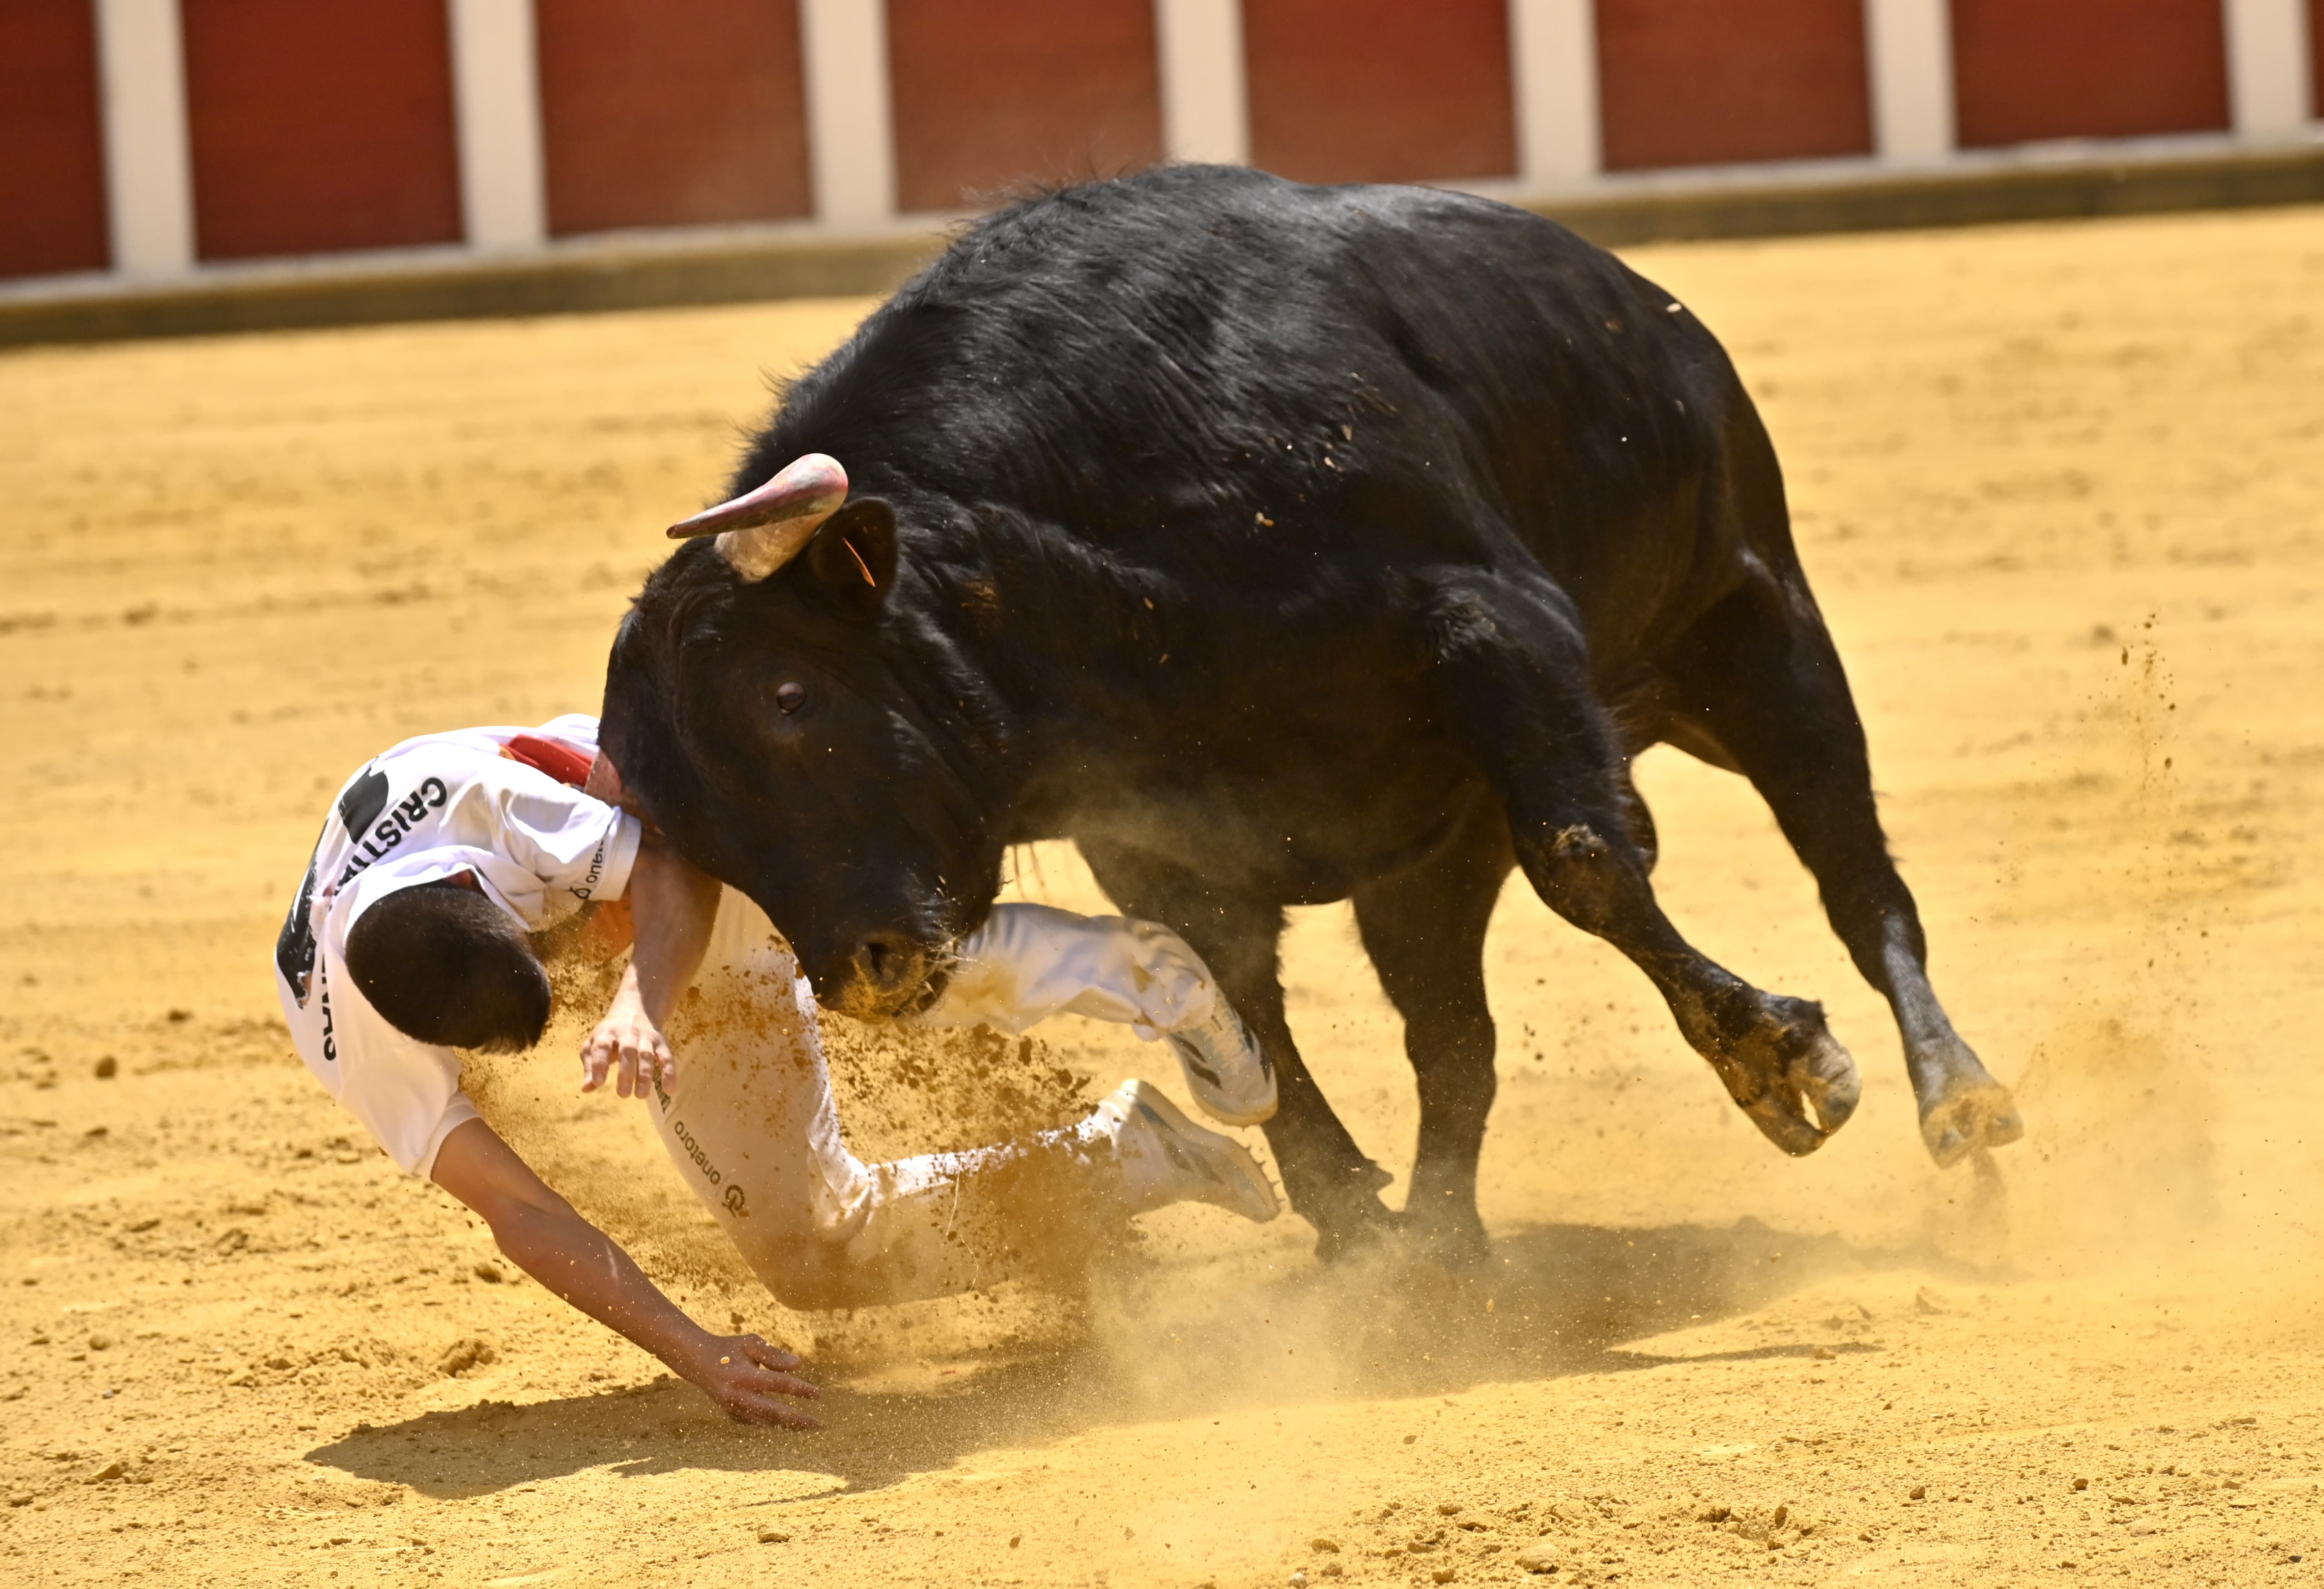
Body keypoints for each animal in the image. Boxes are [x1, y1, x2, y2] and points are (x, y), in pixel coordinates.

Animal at [599, 161, 2017, 1254]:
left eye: (789, 694)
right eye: (687, 824)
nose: (868, 969)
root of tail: (1644, 304)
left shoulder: (1502, 632)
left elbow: (1587, 860)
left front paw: (1779, 1061)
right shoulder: (1149, 829)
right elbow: (1244, 1000)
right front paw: (1351, 1225)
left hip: (1759, 635)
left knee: (1856, 880)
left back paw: (1959, 1101)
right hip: (1431, 866)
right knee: (1454, 1036)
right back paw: (1441, 1246)